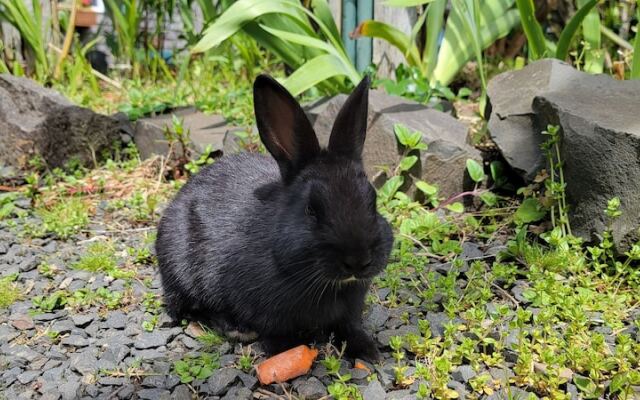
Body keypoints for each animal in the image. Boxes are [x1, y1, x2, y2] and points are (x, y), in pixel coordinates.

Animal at [156, 75, 396, 362]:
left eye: (372, 200)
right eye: (311, 209)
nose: (358, 260)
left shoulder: (350, 310)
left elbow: (348, 327)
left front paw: (368, 351)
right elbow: (274, 332)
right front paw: (288, 350)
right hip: (181, 271)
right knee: (189, 307)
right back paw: (237, 329)